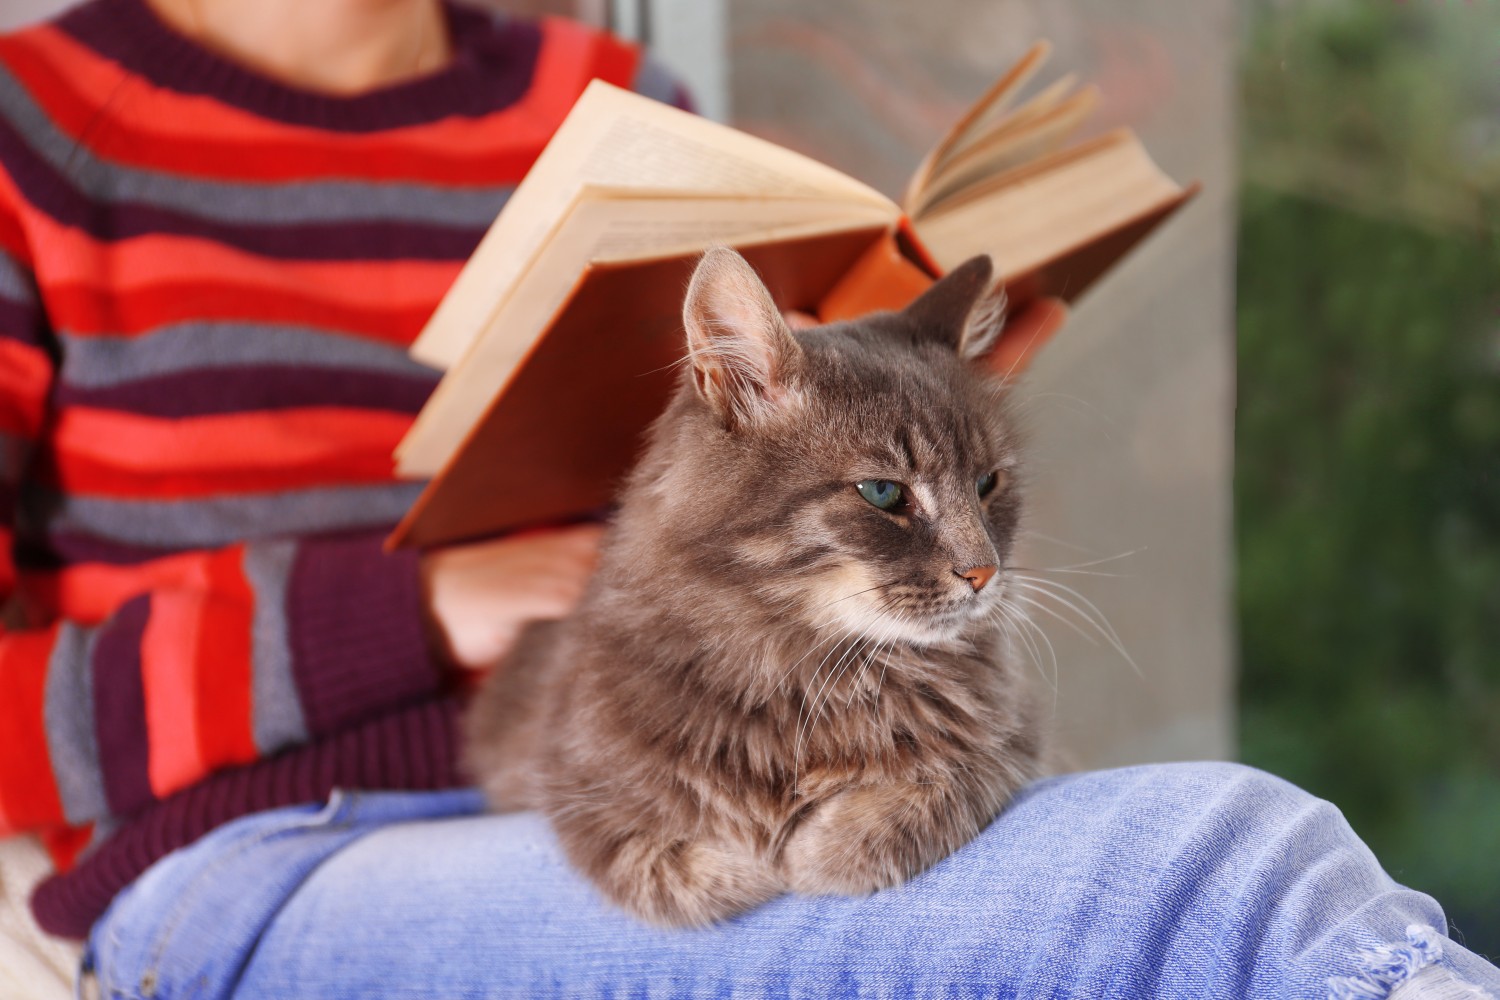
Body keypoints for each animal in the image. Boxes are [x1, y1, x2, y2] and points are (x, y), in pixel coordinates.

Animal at [465, 245, 1044, 929]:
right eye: (883, 493)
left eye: (987, 485)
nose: (984, 571)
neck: (811, 676)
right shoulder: (575, 790)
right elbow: (683, 874)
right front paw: (763, 858)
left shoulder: (1013, 740)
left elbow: (934, 792)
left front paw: (818, 847)